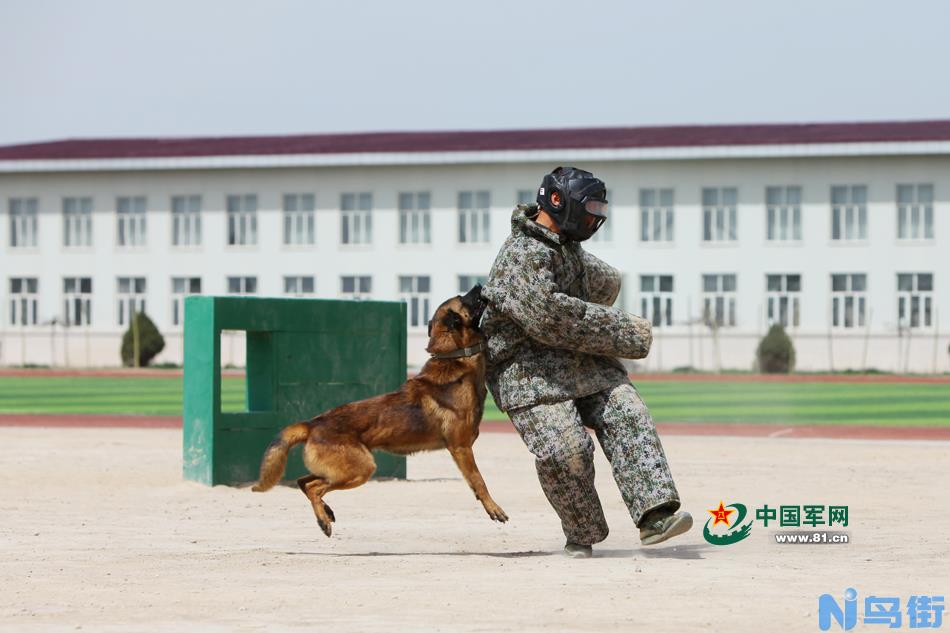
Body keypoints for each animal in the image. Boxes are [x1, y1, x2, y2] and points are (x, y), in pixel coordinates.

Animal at [249, 284, 510, 536]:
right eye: (464, 299)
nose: (479, 285)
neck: (454, 356)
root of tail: (313, 423)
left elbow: (476, 483)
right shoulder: (461, 448)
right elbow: (479, 481)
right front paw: (494, 508)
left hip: (341, 470)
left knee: (304, 482)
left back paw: (326, 512)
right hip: (361, 468)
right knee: (314, 487)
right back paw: (323, 520)